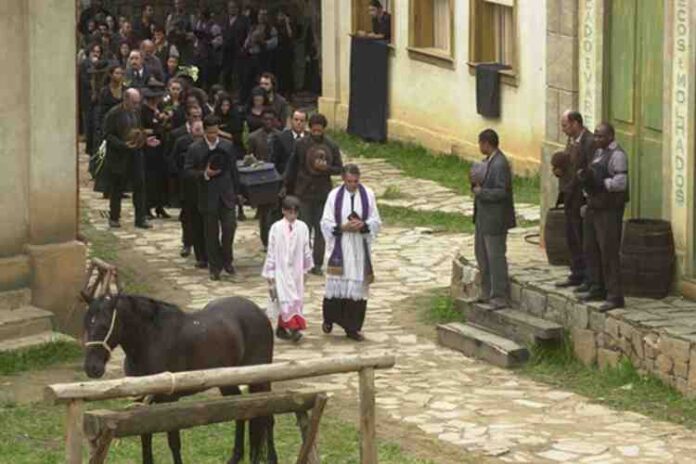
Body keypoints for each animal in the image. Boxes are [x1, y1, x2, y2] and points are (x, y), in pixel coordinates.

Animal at [82, 296, 278, 462]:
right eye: (86, 324)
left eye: (104, 325)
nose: (92, 368)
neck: (151, 340)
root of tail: (258, 311)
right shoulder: (143, 400)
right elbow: (145, 436)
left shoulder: (169, 400)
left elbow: (173, 442)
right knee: (241, 411)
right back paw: (235, 458)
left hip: (261, 378)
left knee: (268, 417)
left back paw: (271, 458)